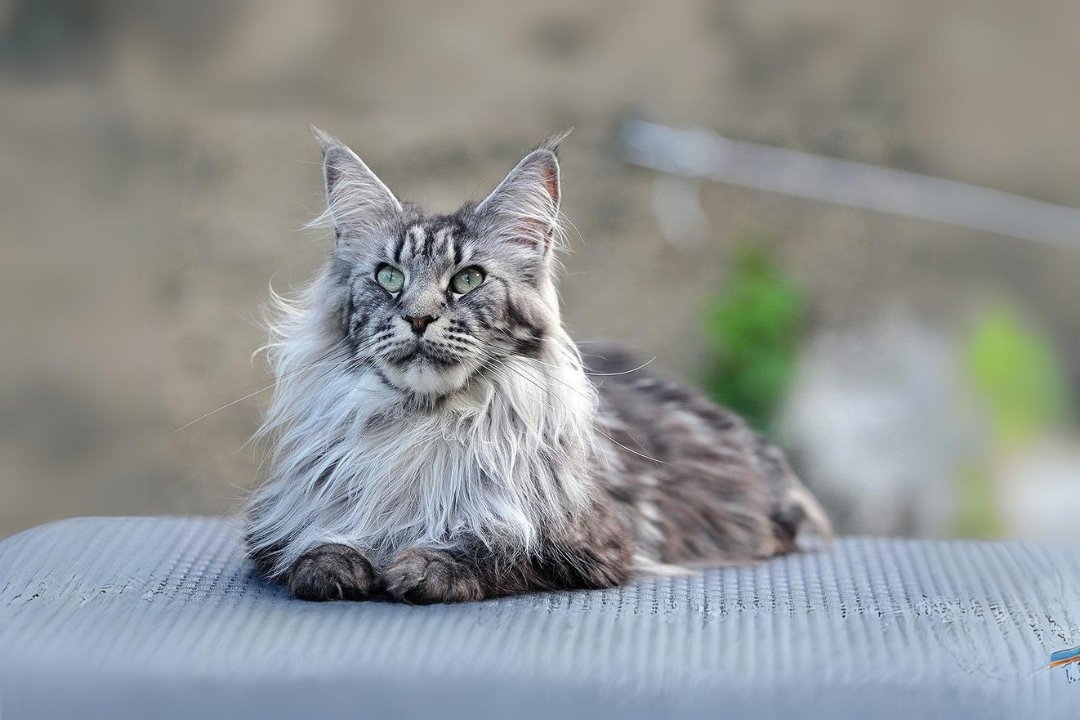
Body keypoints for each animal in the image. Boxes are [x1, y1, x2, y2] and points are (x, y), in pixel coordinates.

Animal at [245, 127, 829, 604]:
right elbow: (309, 546)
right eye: (389, 277)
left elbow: (499, 546)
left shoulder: (591, 542)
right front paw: (335, 564)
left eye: (467, 280)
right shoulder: (275, 522)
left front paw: (424, 566)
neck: (424, 427)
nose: (418, 317)